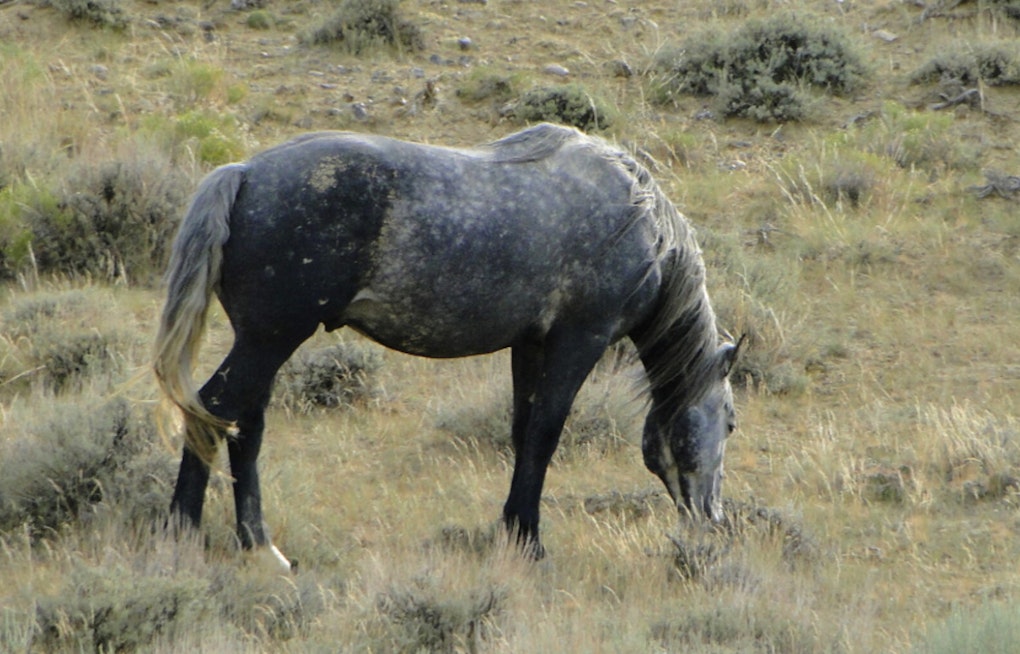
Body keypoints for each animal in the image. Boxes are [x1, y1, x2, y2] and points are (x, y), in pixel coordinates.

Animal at [154, 123, 743, 568]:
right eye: (732, 421)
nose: (713, 518)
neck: (638, 219)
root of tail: (244, 174)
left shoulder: (531, 344)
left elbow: (524, 432)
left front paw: (514, 533)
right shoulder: (580, 339)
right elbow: (546, 434)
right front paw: (531, 545)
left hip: (265, 343)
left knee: (244, 426)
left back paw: (260, 547)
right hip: (270, 339)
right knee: (215, 409)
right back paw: (186, 537)